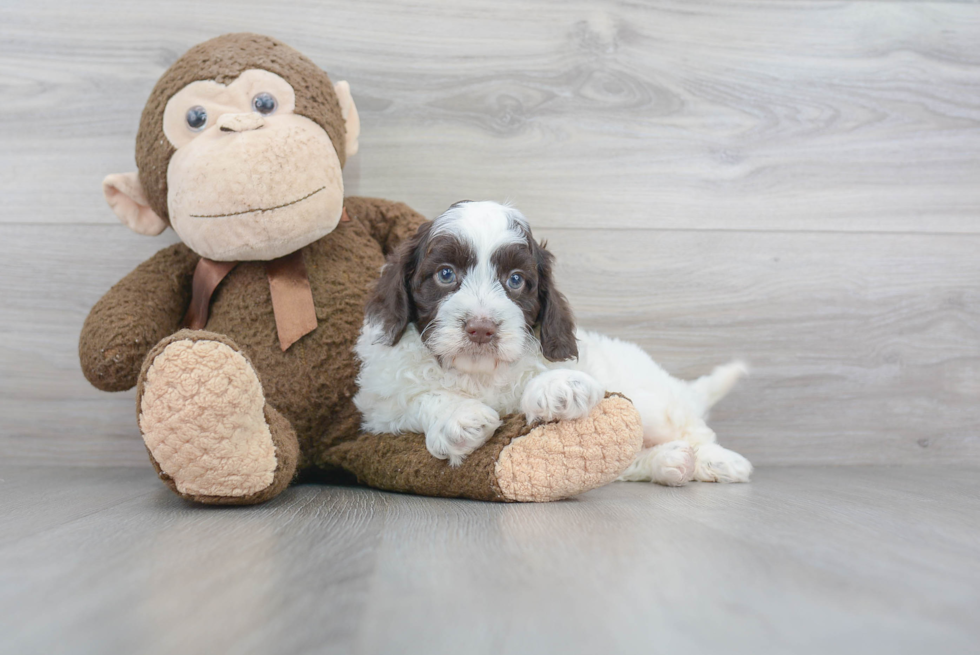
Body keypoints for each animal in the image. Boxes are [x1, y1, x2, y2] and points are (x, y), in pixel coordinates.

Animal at [356, 201, 756, 486]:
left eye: (516, 280)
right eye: (445, 274)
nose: (481, 329)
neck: (479, 374)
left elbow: (551, 374)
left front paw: (559, 386)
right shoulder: (380, 407)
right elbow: (419, 398)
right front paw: (458, 415)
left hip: (653, 400)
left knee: (689, 428)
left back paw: (717, 460)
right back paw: (674, 462)